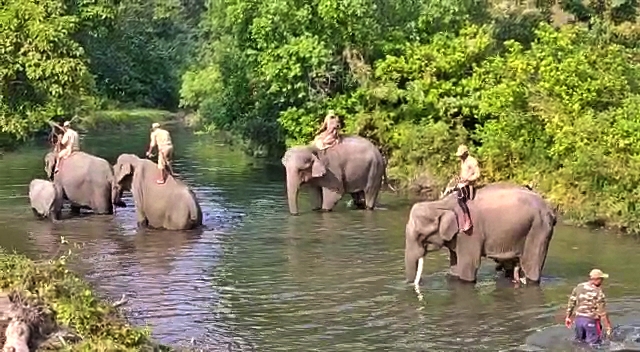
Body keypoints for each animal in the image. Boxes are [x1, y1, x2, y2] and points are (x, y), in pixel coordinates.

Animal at [404, 183, 556, 284]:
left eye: (420, 235)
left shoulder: (469, 233)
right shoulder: (457, 237)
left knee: (531, 266)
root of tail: (551, 210)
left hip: (539, 228)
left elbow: (468, 266)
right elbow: (455, 265)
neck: (440, 204)